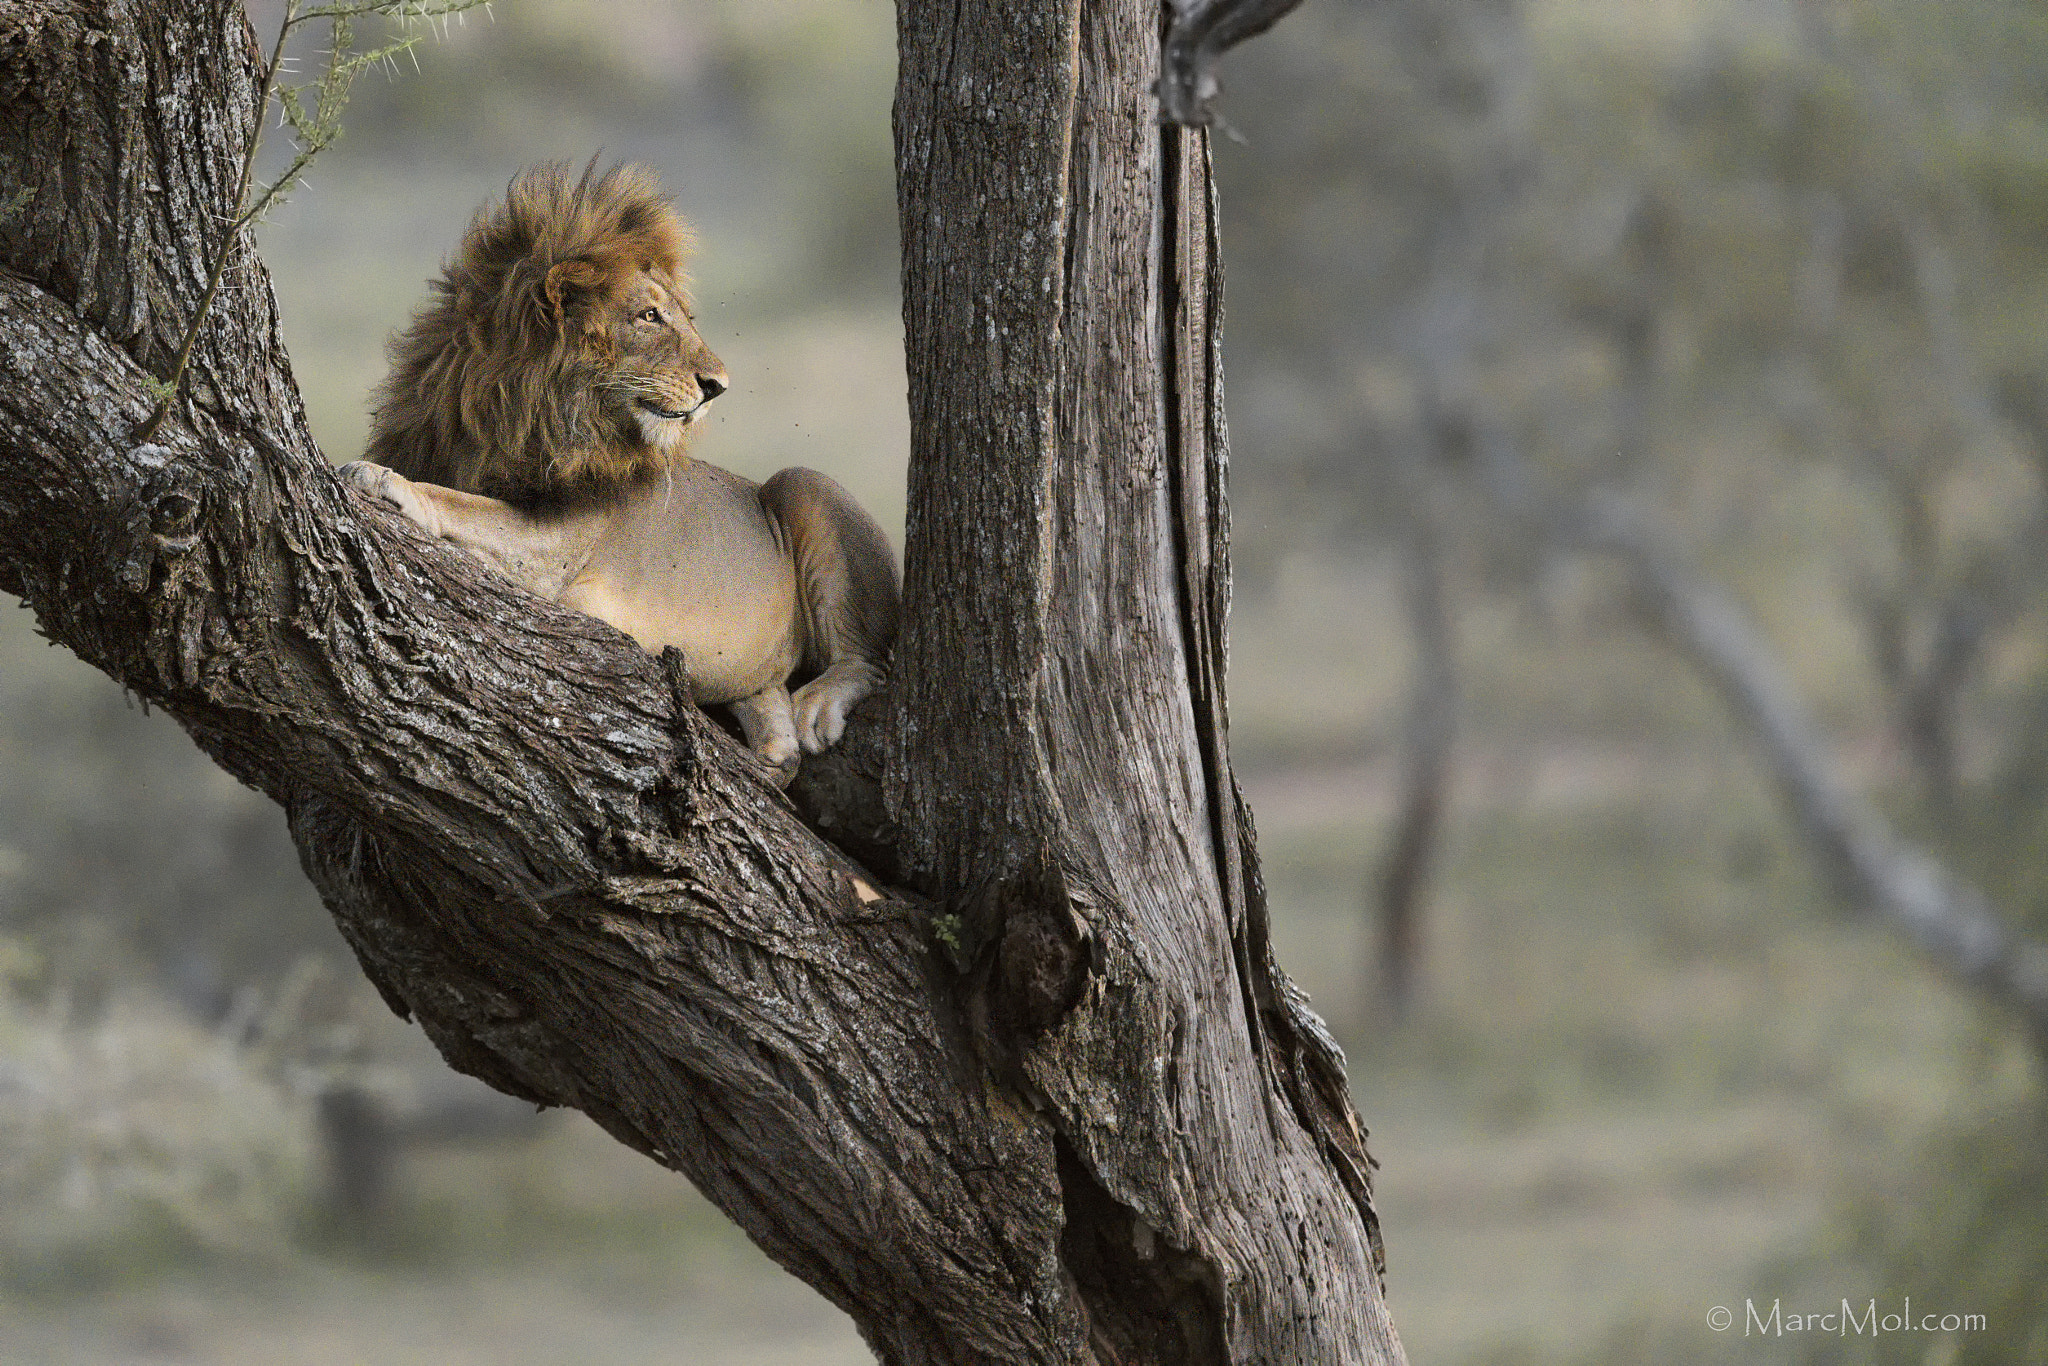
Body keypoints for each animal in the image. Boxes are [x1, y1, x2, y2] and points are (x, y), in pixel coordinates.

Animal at [344, 163, 897, 774]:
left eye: (684, 318)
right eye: (649, 316)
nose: (718, 386)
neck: (505, 420)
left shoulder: (558, 543)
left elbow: (464, 505)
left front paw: (383, 480)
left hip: (802, 484)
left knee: (869, 660)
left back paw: (818, 706)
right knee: (781, 740)